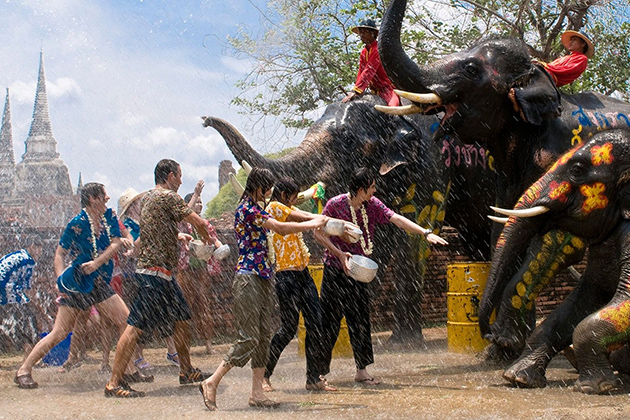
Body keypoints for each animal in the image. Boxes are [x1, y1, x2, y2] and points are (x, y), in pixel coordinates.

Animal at [204, 96, 498, 344]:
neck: (389, 110)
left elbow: (415, 235)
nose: (205, 120)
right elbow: (377, 240)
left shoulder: (432, 165)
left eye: (347, 140)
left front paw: (403, 342)